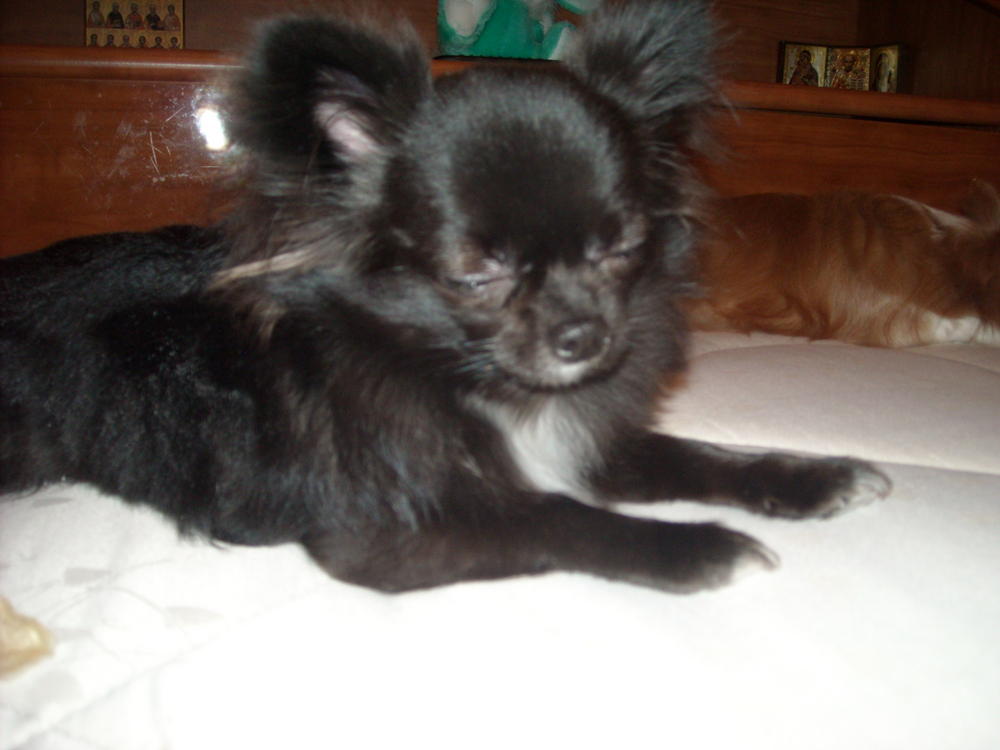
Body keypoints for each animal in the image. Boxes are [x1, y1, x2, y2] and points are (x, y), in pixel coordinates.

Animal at [0, 1, 891, 594]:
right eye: (474, 273)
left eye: (621, 248)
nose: (583, 336)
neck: (465, 375)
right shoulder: (387, 529)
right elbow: (558, 518)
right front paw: (700, 547)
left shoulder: (585, 442)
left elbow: (697, 455)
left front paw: (813, 477)